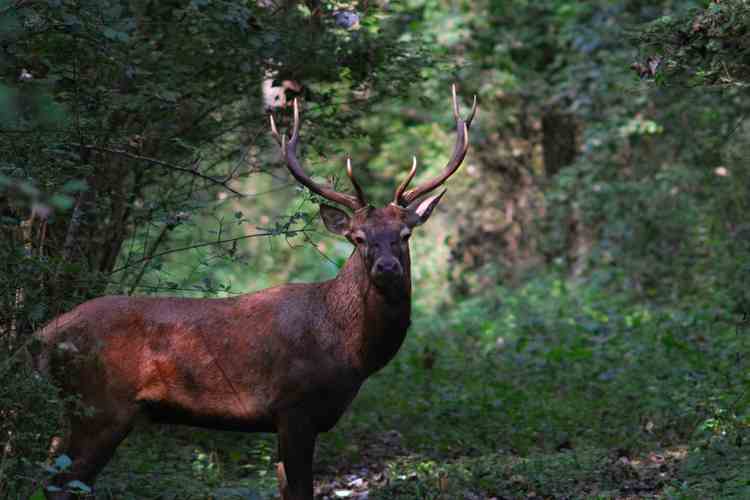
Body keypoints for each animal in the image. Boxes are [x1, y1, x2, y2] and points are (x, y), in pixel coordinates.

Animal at [36, 86, 476, 500]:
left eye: (405, 234)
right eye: (358, 237)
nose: (387, 267)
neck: (349, 350)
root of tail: (44, 335)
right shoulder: (294, 407)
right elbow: (300, 492)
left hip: (78, 409)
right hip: (100, 406)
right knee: (64, 481)